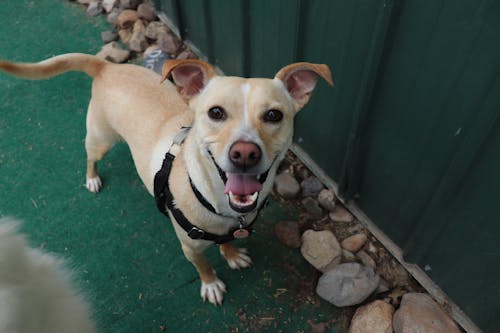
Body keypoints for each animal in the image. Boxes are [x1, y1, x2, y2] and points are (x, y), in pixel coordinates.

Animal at [1, 53, 334, 304]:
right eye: (215, 112)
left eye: (274, 116)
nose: (245, 153)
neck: (217, 202)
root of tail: (107, 66)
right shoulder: (190, 247)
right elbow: (203, 266)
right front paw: (211, 285)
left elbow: (226, 244)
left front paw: (231, 254)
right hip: (100, 138)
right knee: (90, 157)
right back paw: (92, 178)